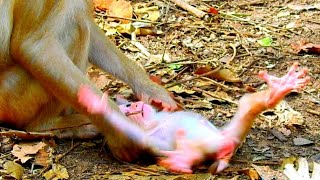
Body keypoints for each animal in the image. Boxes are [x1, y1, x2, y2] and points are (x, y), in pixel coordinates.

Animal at [0, 0, 176, 161]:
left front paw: (149, 88)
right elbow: (34, 46)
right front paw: (125, 134)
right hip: (16, 99)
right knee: (76, 28)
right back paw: (48, 124)